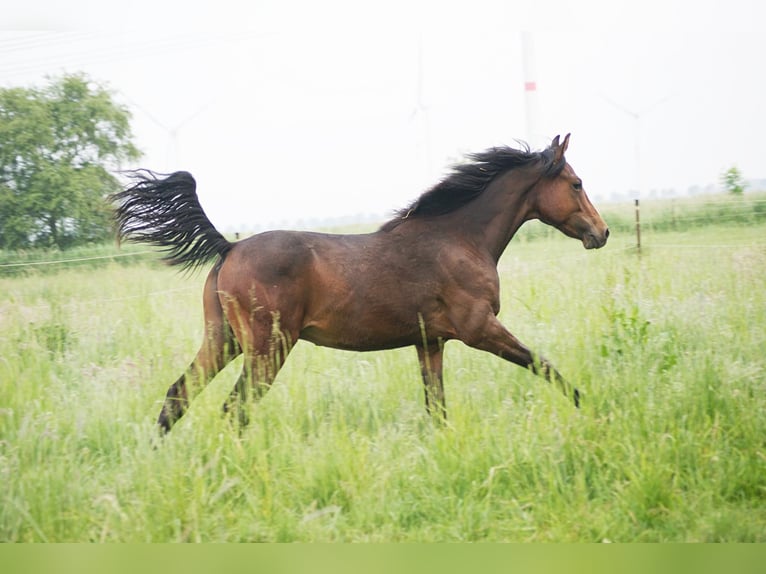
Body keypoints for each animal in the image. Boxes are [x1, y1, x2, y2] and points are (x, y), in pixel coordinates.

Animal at [109, 133, 612, 434]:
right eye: (576, 183)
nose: (601, 232)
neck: (460, 238)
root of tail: (227, 248)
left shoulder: (430, 342)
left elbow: (436, 406)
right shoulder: (478, 329)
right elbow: (545, 366)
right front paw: (595, 411)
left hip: (224, 339)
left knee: (178, 396)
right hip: (267, 348)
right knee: (235, 409)